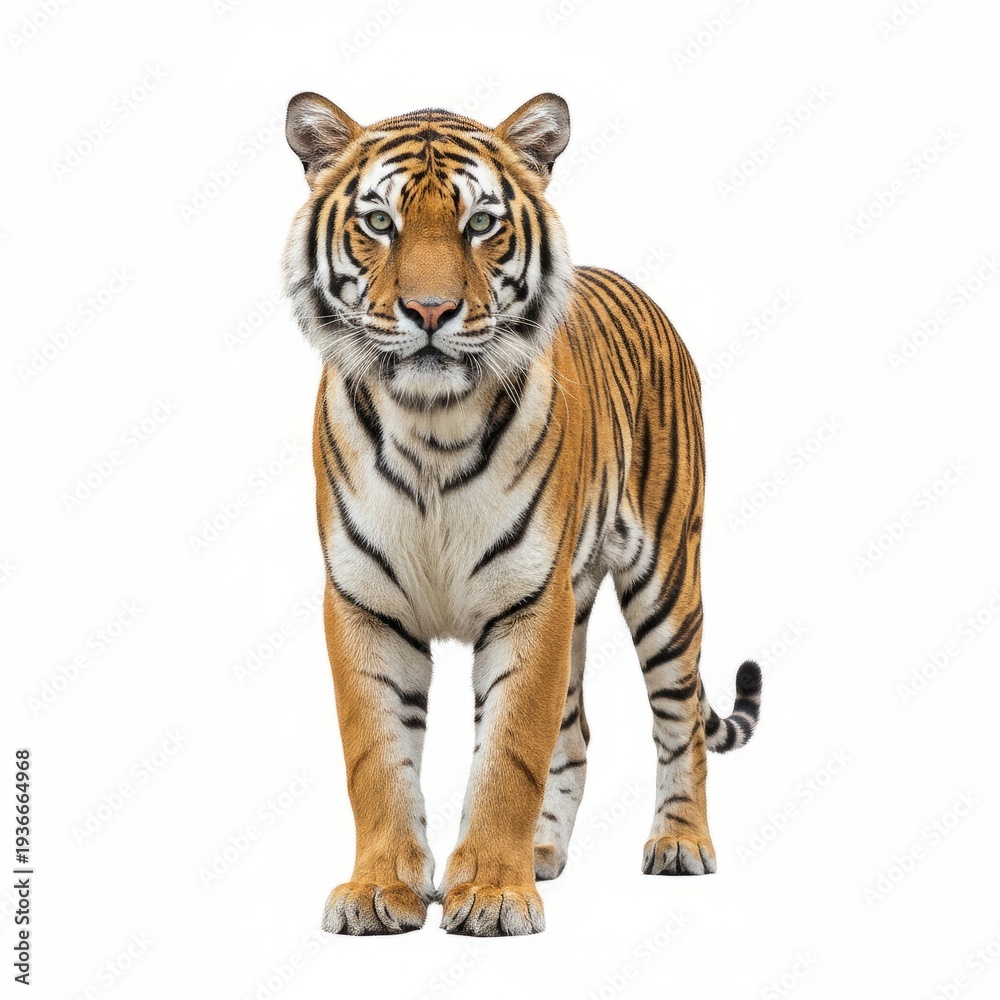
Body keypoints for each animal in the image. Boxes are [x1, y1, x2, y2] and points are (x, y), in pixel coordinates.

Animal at [282, 90, 763, 938]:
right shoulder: (365, 601)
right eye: (378, 222)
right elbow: (377, 756)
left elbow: (510, 753)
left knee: (678, 722)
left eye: (481, 222)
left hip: (668, 578)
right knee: (577, 730)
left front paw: (493, 893)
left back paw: (679, 842)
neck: (429, 425)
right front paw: (380, 888)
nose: (431, 310)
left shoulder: (530, 601)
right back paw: (542, 852)